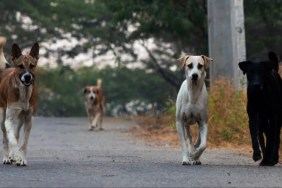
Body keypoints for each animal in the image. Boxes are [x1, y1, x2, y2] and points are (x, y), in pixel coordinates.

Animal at [0, 37, 39, 166]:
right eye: (20, 66)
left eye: (32, 65)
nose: (27, 76)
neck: (24, 93)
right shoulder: (8, 120)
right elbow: (12, 140)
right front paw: (16, 155)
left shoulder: (29, 119)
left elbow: (24, 143)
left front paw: (21, 158)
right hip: (2, 116)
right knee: (6, 138)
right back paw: (7, 157)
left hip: (21, 118)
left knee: (16, 133)